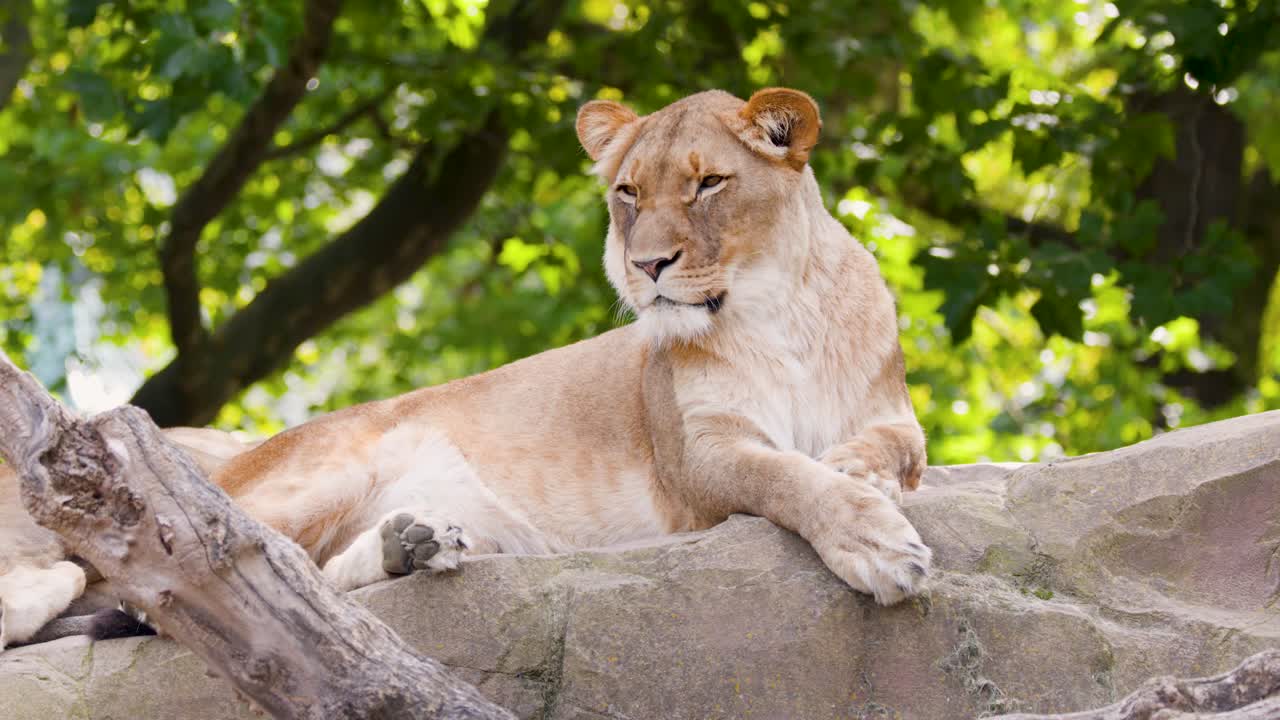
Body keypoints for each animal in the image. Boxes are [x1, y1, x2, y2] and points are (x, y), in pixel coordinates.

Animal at [0, 88, 930, 650]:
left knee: (308, 583)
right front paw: (877, 541)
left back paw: (413, 544)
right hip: (312, 475)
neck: (778, 316)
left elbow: (888, 451)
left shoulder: (893, 414)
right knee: (159, 573)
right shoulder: (697, 456)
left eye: (708, 185)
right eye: (628, 193)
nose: (647, 266)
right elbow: (784, 475)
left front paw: (861, 476)